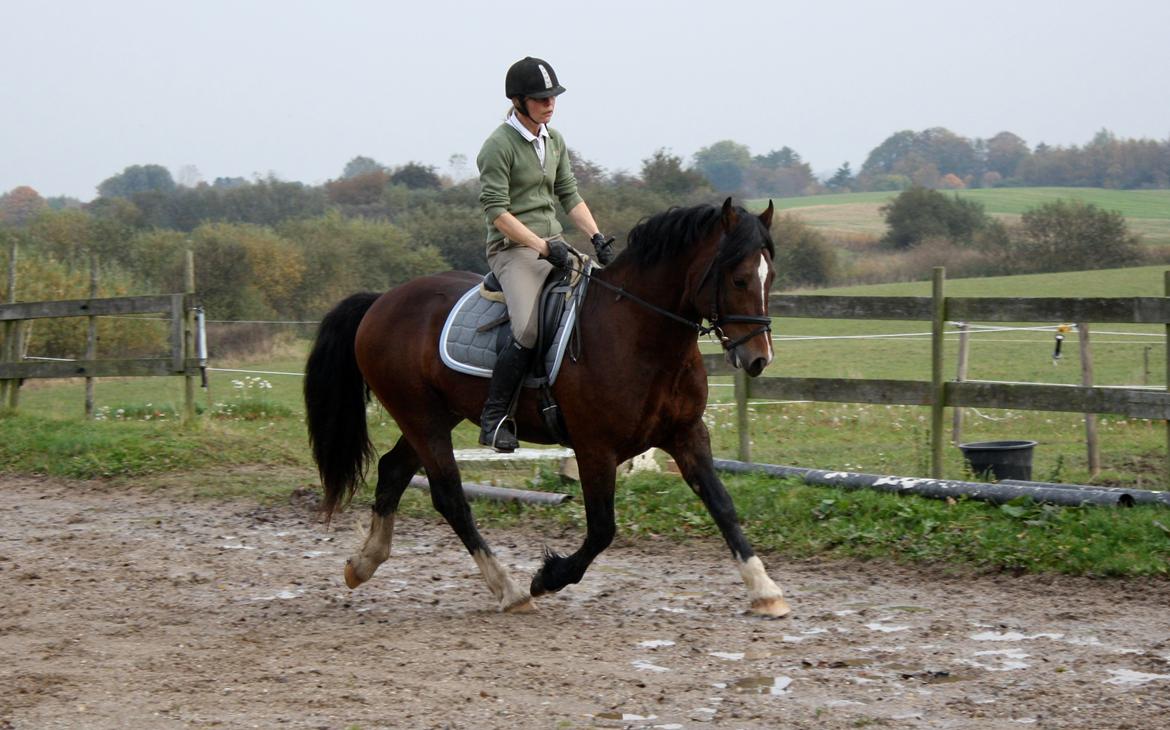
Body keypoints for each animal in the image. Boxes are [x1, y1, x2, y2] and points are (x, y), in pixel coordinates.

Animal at [306, 197, 790, 617]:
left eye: (770, 278)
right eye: (738, 279)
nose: (758, 359)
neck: (639, 332)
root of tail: (382, 300)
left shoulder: (687, 434)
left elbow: (722, 504)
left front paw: (765, 590)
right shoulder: (595, 449)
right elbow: (602, 529)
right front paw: (548, 577)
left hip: (435, 416)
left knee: (393, 470)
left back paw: (363, 564)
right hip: (421, 417)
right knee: (450, 497)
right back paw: (511, 590)